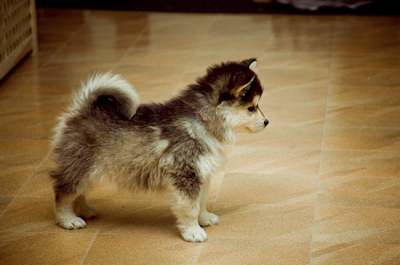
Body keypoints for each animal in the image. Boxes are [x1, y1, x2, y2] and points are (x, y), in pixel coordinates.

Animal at [50, 58, 268, 241]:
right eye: (251, 108)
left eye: (257, 106)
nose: (267, 122)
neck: (202, 119)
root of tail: (83, 109)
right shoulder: (185, 175)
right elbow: (190, 207)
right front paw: (193, 231)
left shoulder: (201, 173)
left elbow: (202, 200)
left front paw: (204, 218)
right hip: (82, 166)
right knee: (63, 192)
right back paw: (68, 219)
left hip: (88, 170)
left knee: (78, 192)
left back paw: (84, 210)